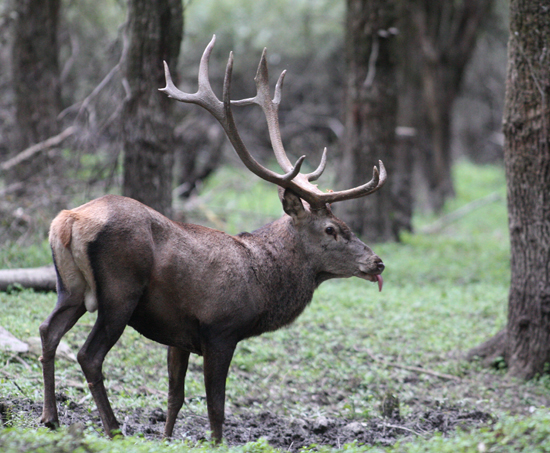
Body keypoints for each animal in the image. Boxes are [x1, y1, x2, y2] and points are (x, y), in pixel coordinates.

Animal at [38, 36, 388, 442]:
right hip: (119, 291)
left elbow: (174, 397)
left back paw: (50, 417)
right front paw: (215, 442)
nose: (377, 262)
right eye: (331, 229)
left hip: (70, 287)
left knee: (48, 330)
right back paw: (112, 428)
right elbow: (216, 407)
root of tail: (69, 220)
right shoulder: (220, 329)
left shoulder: (178, 336)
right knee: (88, 355)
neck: (263, 282)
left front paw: (167, 439)